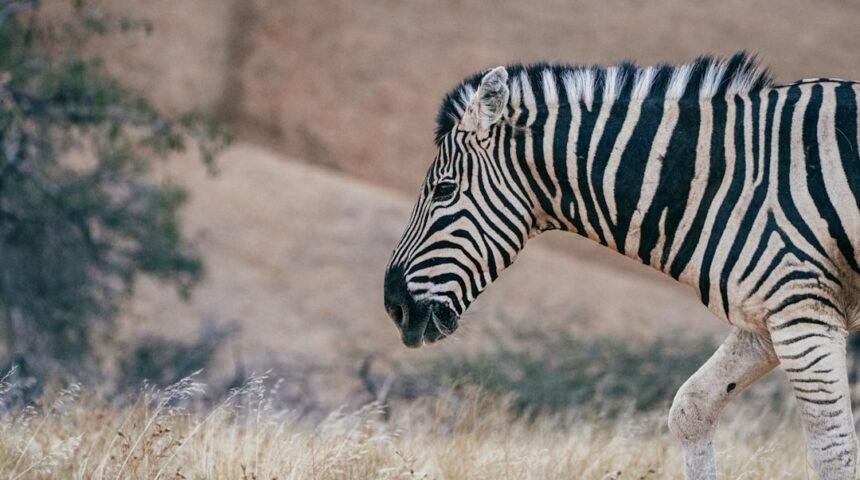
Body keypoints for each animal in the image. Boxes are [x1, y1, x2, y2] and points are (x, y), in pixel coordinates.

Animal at [383, 52, 860, 479]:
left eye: (444, 190)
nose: (394, 305)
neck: (723, 176)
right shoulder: (765, 315)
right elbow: (691, 408)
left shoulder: (803, 314)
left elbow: (834, 456)